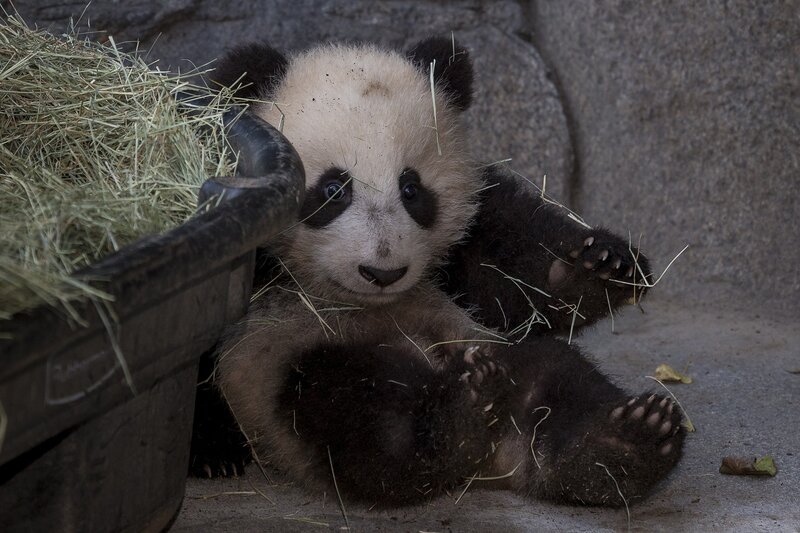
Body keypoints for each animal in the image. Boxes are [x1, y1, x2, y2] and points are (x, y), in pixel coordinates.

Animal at [190, 37, 686, 508]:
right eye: (333, 189)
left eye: (411, 189)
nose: (383, 272)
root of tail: (491, 462)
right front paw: (214, 453)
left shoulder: (466, 240)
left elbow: (516, 283)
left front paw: (605, 264)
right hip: (287, 370)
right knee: (353, 410)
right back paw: (453, 423)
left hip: (494, 347)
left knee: (557, 374)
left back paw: (621, 445)